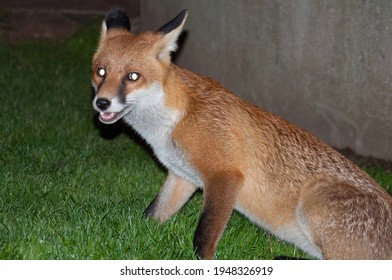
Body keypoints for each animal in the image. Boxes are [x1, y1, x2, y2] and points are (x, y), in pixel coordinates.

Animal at [91, 7, 392, 260]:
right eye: (100, 72)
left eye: (133, 77)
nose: (102, 103)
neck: (174, 121)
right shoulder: (182, 176)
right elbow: (151, 215)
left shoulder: (224, 176)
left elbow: (203, 238)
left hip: (314, 201)